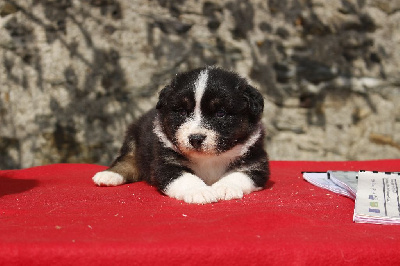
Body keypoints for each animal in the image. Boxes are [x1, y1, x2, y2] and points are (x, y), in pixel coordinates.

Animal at [92, 66, 270, 204]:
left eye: (221, 113)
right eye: (182, 112)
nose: (196, 139)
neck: (208, 159)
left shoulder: (255, 163)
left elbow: (237, 175)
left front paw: (224, 188)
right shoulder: (166, 164)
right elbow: (186, 178)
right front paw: (200, 192)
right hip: (133, 140)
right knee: (127, 160)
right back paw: (108, 175)